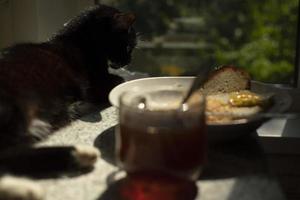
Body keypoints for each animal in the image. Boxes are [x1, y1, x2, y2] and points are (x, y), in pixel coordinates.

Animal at [0, 4, 137, 200]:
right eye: (128, 46)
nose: (128, 62)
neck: (78, 41)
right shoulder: (98, 86)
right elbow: (121, 79)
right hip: (17, 108)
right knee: (7, 153)